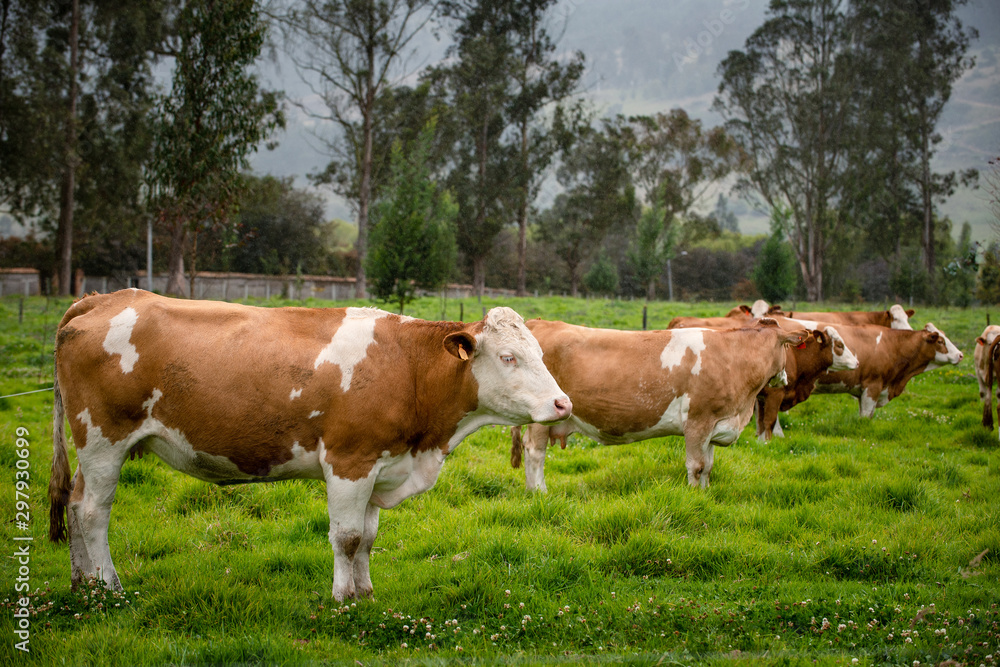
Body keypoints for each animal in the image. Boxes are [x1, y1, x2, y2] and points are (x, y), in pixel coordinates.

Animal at [48, 290, 572, 604]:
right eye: (508, 357)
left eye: (541, 354)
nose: (562, 403)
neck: (408, 369)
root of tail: (102, 298)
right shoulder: (348, 461)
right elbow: (347, 537)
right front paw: (343, 599)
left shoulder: (379, 464)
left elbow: (369, 537)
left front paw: (365, 592)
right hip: (104, 439)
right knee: (94, 511)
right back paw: (111, 587)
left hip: (91, 446)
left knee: (73, 501)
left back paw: (82, 583)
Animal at [512, 318, 808, 490]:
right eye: (787, 347)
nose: (785, 378)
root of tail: (541, 322)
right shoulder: (698, 421)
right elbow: (696, 466)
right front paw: (693, 496)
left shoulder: (715, 425)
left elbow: (709, 467)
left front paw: (705, 495)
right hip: (543, 418)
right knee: (535, 452)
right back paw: (539, 492)